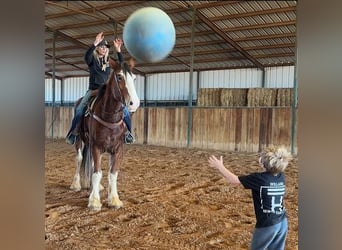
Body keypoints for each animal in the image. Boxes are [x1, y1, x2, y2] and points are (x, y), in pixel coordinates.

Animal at [70, 58, 140, 211]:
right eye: (119, 77)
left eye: (134, 78)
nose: (134, 103)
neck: (109, 117)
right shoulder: (96, 147)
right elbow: (97, 173)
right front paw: (94, 201)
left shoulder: (118, 149)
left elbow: (112, 173)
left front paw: (114, 200)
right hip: (79, 140)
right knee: (79, 159)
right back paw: (76, 184)